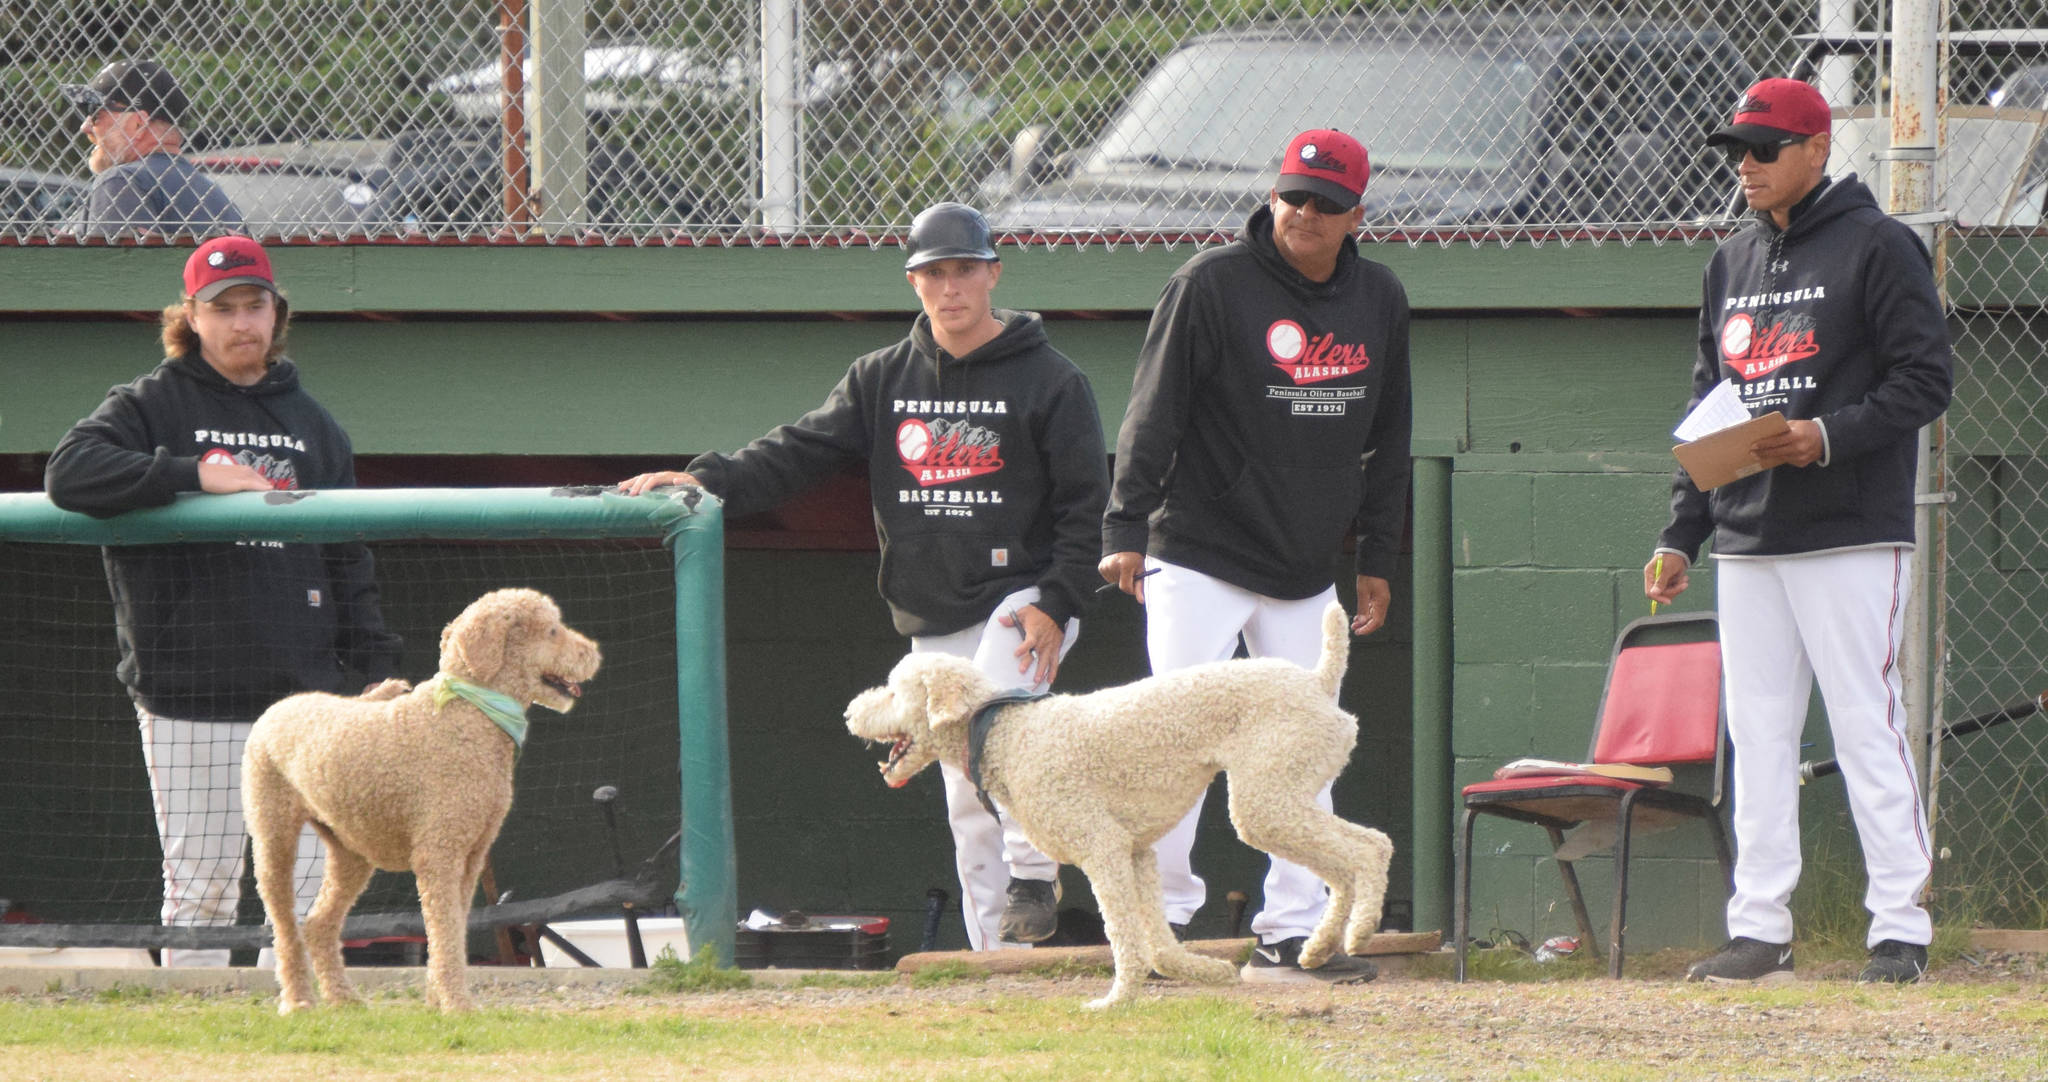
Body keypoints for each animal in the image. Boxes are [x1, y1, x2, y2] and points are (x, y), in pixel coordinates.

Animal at [242, 586, 598, 1008]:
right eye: (552, 631)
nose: (594, 654)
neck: (468, 713)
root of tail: (278, 706)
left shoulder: (470, 857)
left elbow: (451, 931)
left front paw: (437, 1001)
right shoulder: (439, 853)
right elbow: (445, 932)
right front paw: (457, 1005)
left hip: (350, 851)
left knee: (317, 923)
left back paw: (344, 999)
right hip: (273, 835)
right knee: (284, 928)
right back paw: (298, 1001)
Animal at [843, 598, 1392, 1004]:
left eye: (892, 694)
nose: (849, 712)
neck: (1003, 728)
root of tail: (1317, 682)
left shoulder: (1102, 847)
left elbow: (1124, 936)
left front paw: (1116, 999)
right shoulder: (1137, 853)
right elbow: (1158, 943)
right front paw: (1206, 971)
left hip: (1268, 802)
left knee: (1372, 848)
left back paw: (1358, 933)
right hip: (1285, 801)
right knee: (1345, 869)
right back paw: (1319, 948)